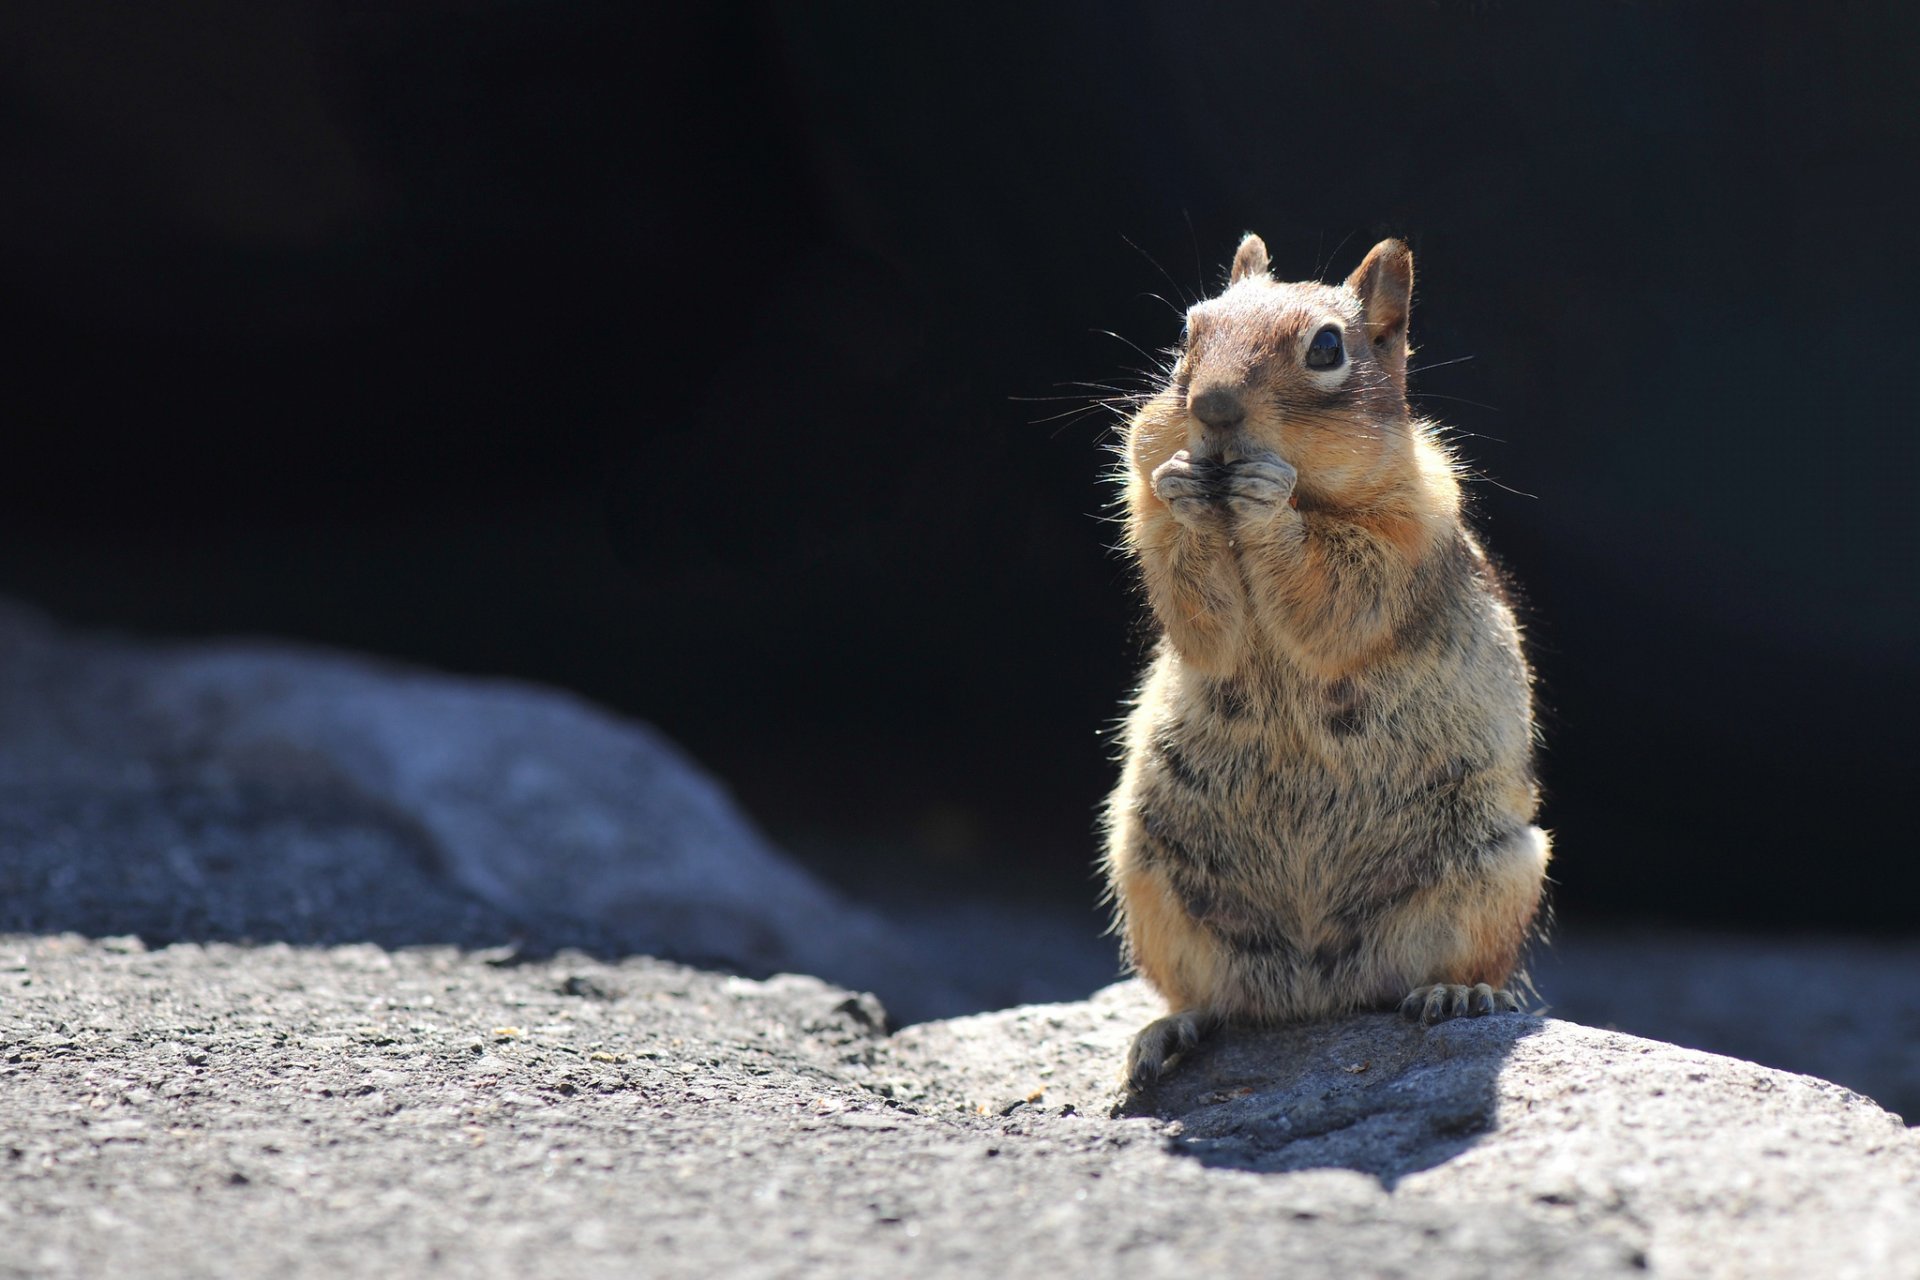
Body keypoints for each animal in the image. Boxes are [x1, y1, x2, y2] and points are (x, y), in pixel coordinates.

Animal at [1105, 233, 1551, 1090]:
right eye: (1188, 331)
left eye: (1326, 349)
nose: (1212, 409)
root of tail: (1317, 991)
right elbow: (1198, 610)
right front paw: (1183, 489)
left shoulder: (1402, 533)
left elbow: (1338, 595)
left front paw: (1271, 501)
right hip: (1149, 875)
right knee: (1215, 999)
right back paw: (1167, 1034)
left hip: (1494, 868)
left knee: (1461, 964)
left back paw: (1456, 994)